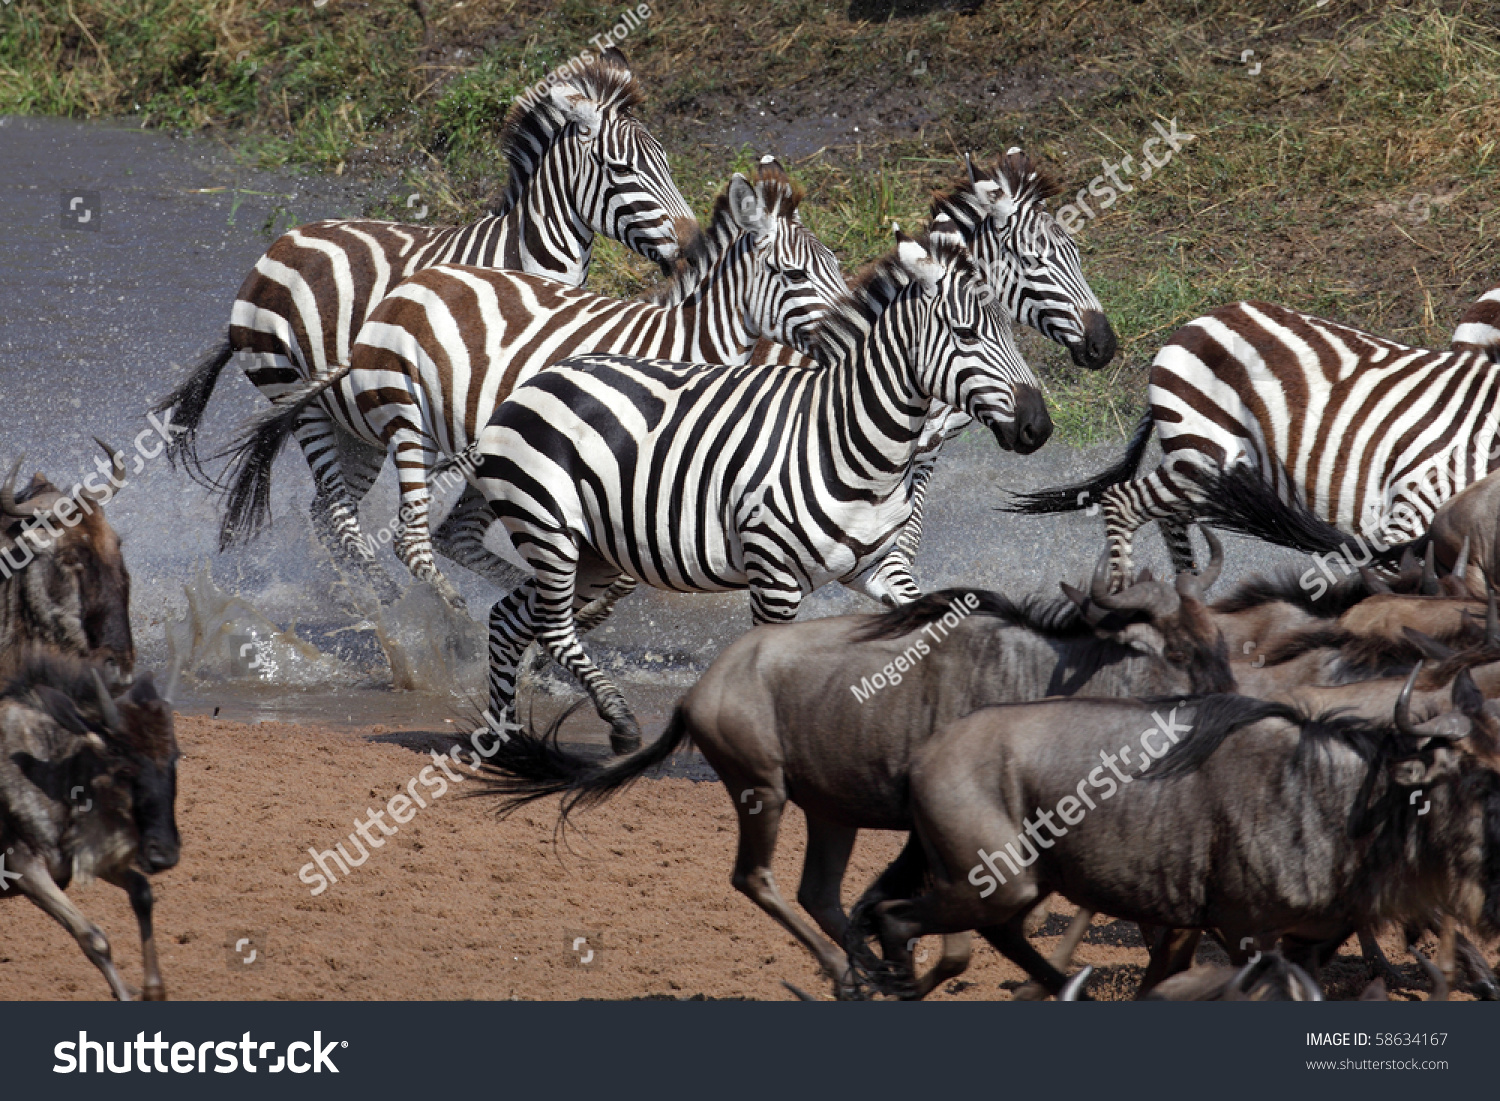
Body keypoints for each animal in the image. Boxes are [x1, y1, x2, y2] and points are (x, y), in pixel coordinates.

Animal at [155, 49, 693, 594]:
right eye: (622, 169)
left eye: (667, 163)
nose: (692, 247)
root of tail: (273, 250)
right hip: (296, 396)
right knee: (337, 508)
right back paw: (387, 597)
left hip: (354, 423)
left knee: (325, 511)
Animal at [222, 157, 858, 612]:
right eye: (795, 274)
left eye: (833, 264)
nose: (857, 326)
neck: (681, 348)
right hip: (382, 418)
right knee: (392, 530)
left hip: (374, 430)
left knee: (351, 517)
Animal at [474, 225, 1050, 759]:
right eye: (967, 334)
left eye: (1012, 333)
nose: (1038, 427)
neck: (846, 440)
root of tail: (541, 378)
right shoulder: (774, 578)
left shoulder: (877, 567)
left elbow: (939, 626)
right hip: (549, 526)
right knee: (552, 627)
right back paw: (617, 720)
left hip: (594, 551)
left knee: (508, 619)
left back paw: (504, 739)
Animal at [1008, 294, 1500, 588]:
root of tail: (1195, 322)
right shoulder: (1408, 514)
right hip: (1203, 456)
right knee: (1121, 501)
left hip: (1206, 469)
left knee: (1166, 516)